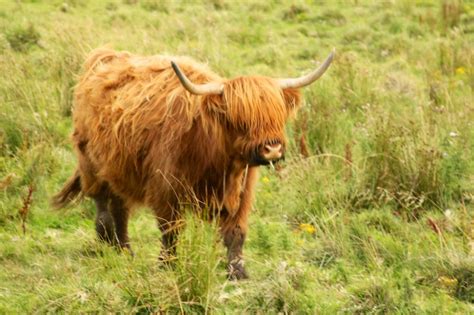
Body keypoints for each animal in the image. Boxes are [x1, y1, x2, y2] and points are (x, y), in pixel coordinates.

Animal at [52, 47, 334, 278]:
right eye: (240, 119)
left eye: (278, 114)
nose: (272, 149)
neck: (216, 160)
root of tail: (104, 56)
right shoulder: (165, 190)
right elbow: (171, 231)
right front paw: (168, 266)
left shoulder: (242, 191)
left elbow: (236, 233)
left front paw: (237, 271)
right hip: (91, 164)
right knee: (103, 208)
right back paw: (113, 246)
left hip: (119, 169)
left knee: (120, 209)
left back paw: (125, 250)